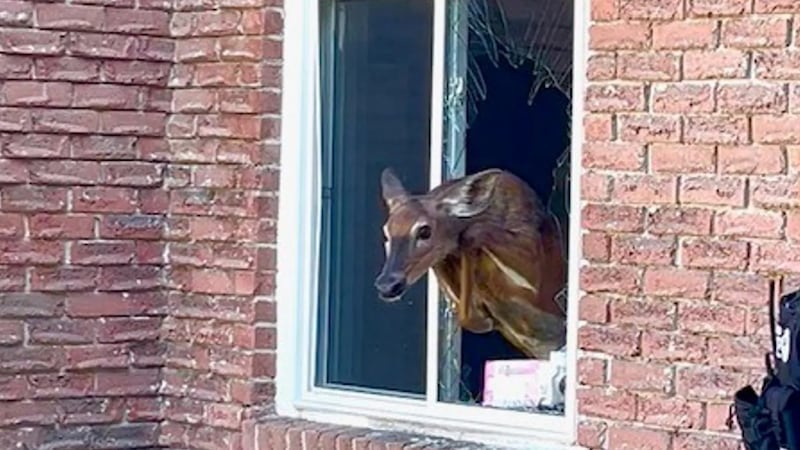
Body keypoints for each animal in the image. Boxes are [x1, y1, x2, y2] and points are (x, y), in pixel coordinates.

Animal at [374, 167, 568, 360]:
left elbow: (472, 234)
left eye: (425, 231)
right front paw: (483, 320)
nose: (387, 285)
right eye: (386, 232)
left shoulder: (537, 273)